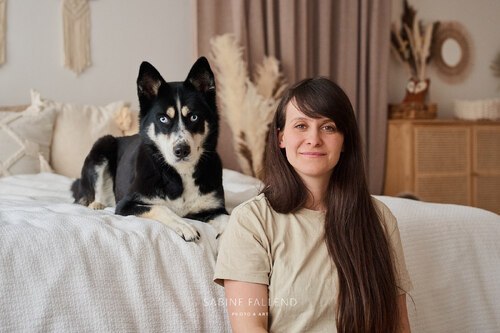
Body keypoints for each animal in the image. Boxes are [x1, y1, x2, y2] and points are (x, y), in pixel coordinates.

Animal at [71, 56, 228, 239]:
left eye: (194, 117)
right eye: (163, 119)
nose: (181, 150)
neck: (180, 173)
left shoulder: (214, 208)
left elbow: (230, 217)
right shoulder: (126, 204)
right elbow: (162, 208)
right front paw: (184, 226)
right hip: (103, 145)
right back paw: (96, 204)